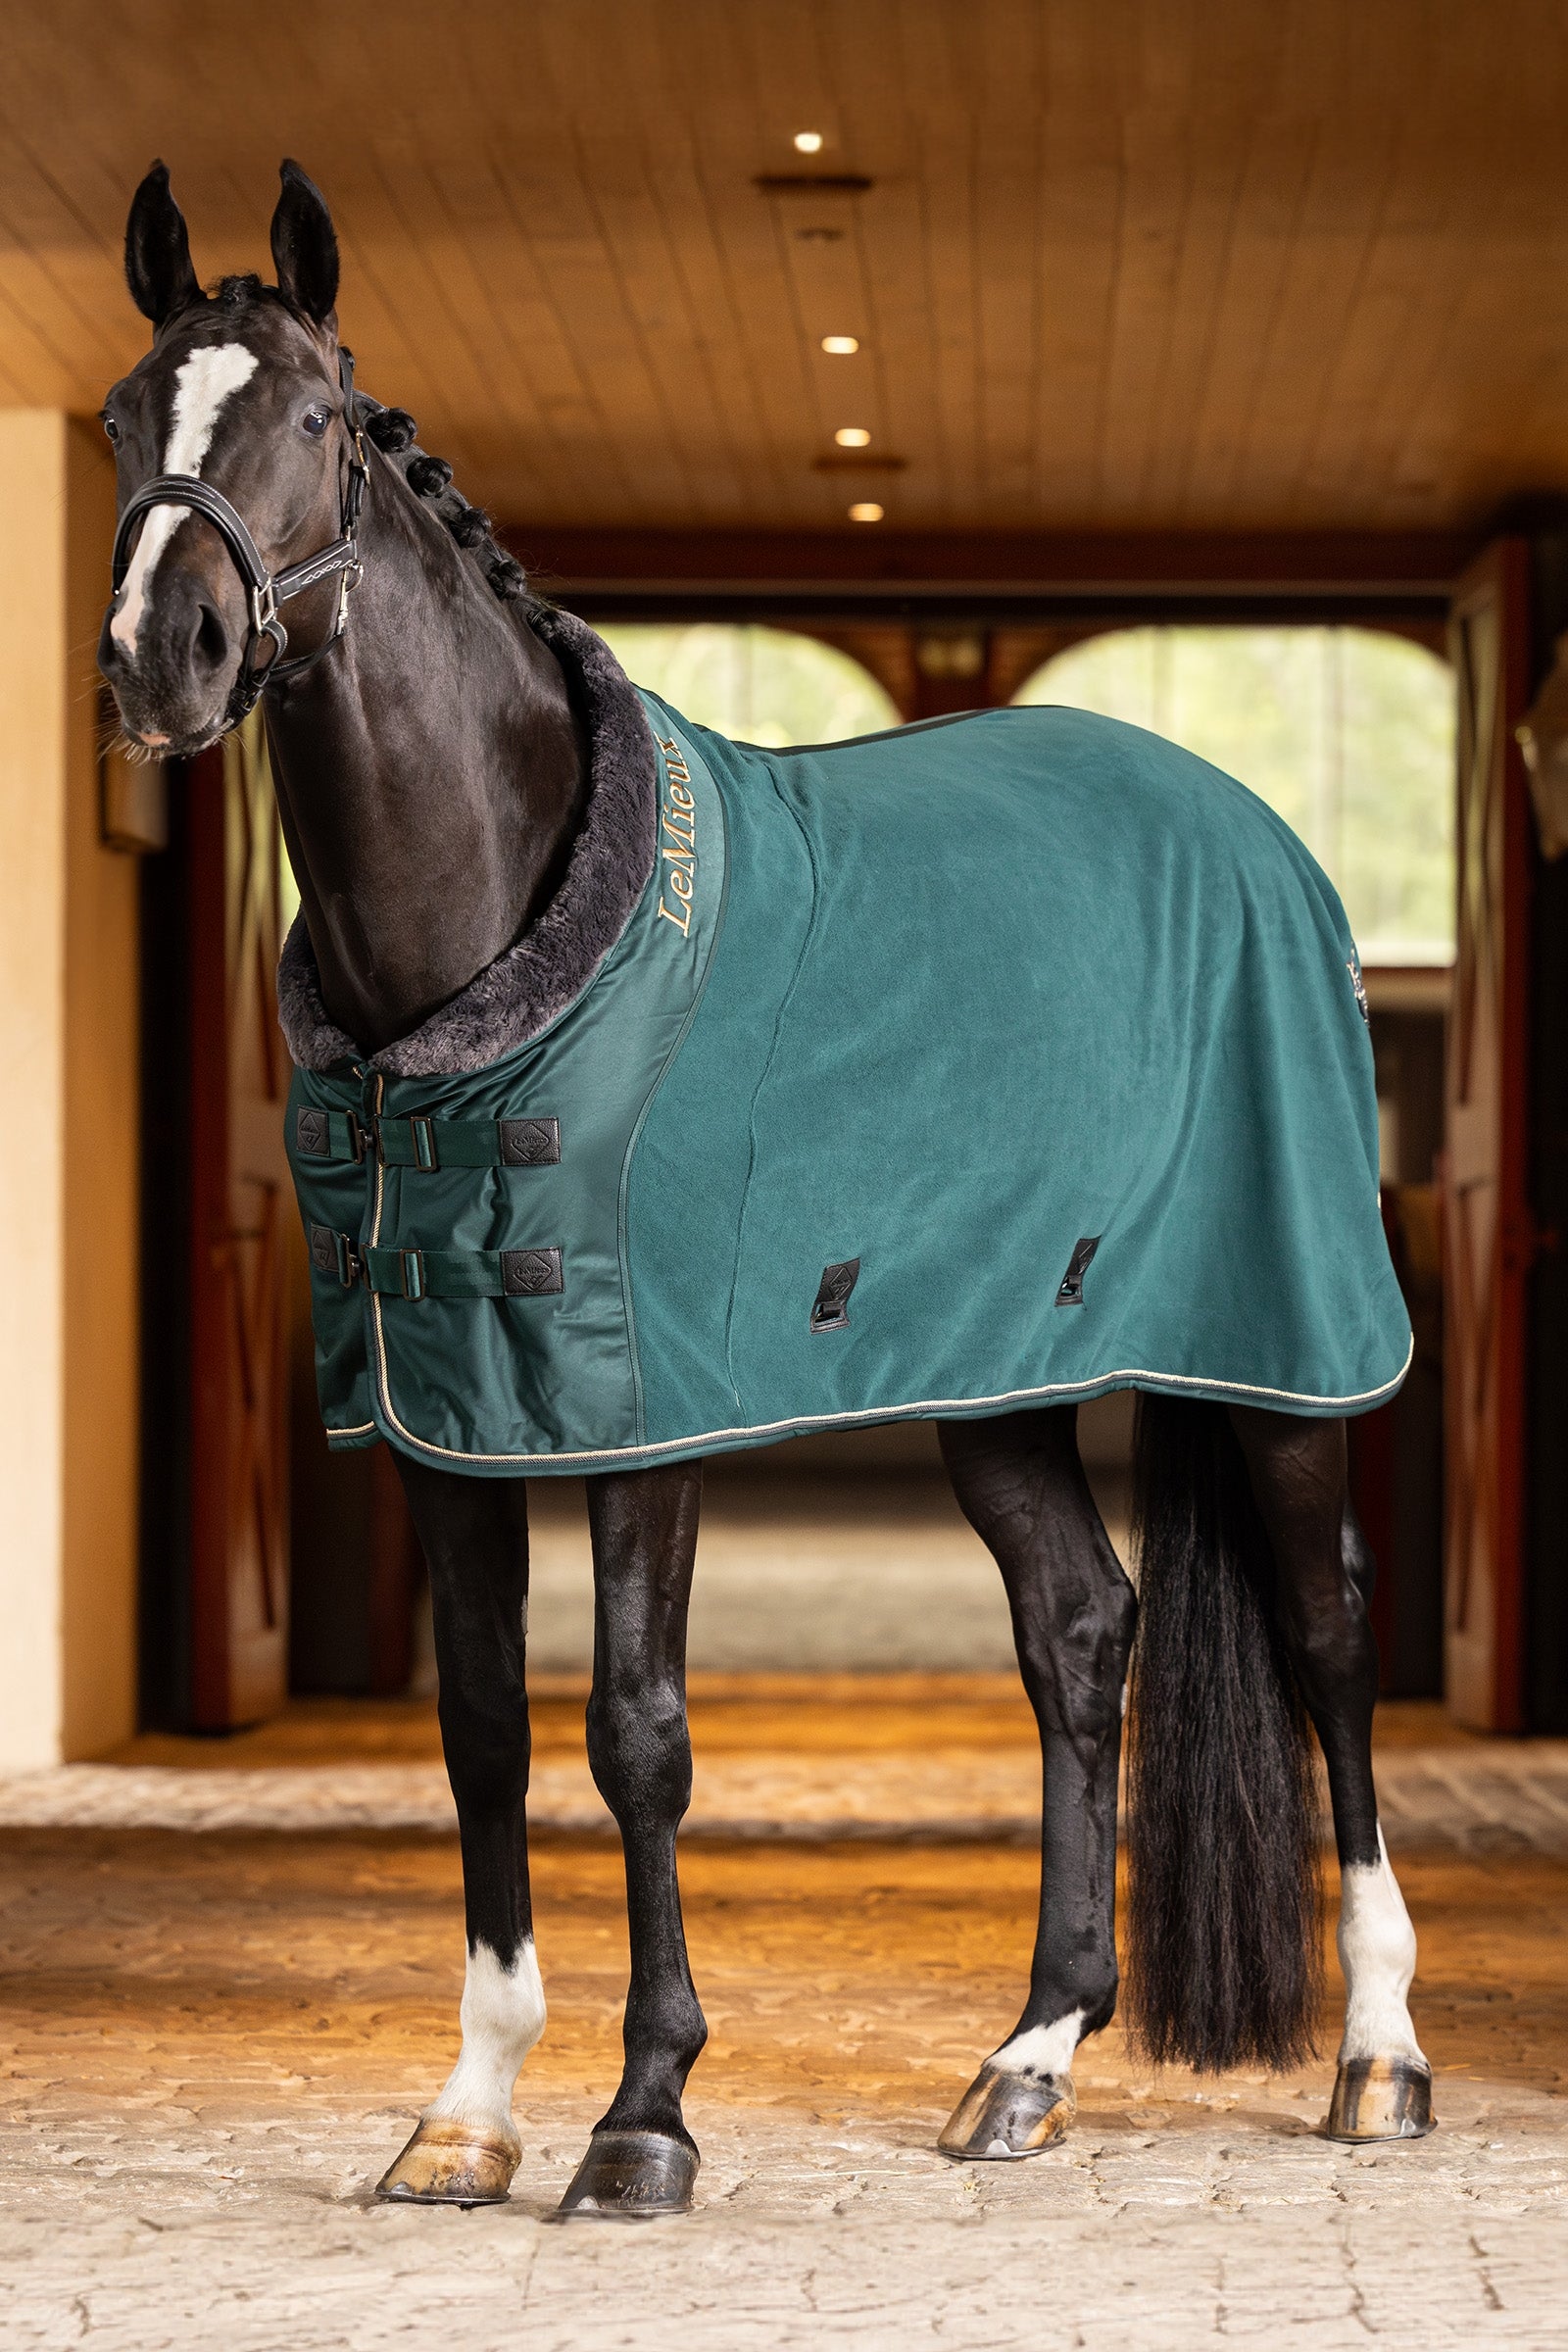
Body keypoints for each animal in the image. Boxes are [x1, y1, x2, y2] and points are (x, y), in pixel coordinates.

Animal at [97, 159, 1434, 2220]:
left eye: (313, 420)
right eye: (117, 421)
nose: (162, 659)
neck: (491, 934)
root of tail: (1254, 834)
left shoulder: (642, 1422)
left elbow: (634, 1735)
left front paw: (644, 2116)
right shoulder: (438, 1424)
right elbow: (483, 1729)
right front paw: (470, 2110)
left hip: (1277, 1344)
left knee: (1330, 1635)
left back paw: (1378, 2056)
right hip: (1000, 1371)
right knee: (1081, 1633)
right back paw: (1030, 2060)